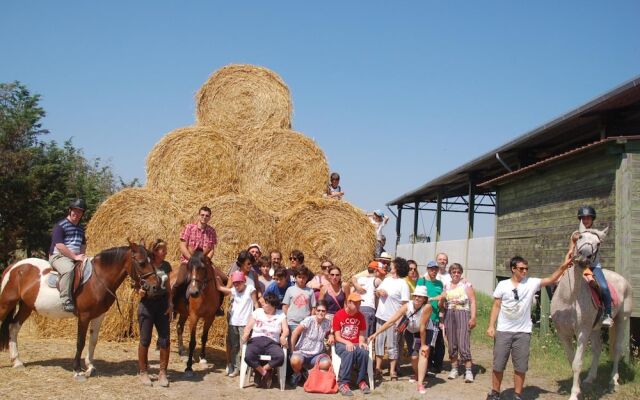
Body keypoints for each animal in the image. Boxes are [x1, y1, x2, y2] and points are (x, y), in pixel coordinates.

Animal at [0, 239, 159, 380]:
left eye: (153, 261)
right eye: (141, 263)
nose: (155, 287)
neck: (97, 279)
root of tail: (13, 267)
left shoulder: (98, 316)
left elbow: (93, 340)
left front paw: (90, 366)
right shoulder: (84, 316)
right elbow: (80, 342)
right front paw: (77, 370)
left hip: (26, 306)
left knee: (13, 327)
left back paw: (17, 361)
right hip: (6, 304)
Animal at [172, 248, 225, 376]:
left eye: (203, 267)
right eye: (189, 267)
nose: (193, 292)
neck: (205, 295)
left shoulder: (210, 317)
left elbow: (204, 337)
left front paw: (202, 358)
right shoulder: (194, 317)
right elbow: (192, 342)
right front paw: (189, 367)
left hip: (184, 313)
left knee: (179, 326)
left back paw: (182, 352)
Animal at [552, 222, 636, 400]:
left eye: (598, 243)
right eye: (580, 237)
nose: (584, 256)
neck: (570, 297)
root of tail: (623, 280)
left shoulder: (582, 331)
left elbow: (577, 363)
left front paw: (574, 394)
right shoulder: (562, 332)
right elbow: (571, 359)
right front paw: (578, 386)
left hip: (622, 320)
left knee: (617, 349)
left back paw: (613, 381)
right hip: (595, 328)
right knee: (597, 348)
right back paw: (590, 378)